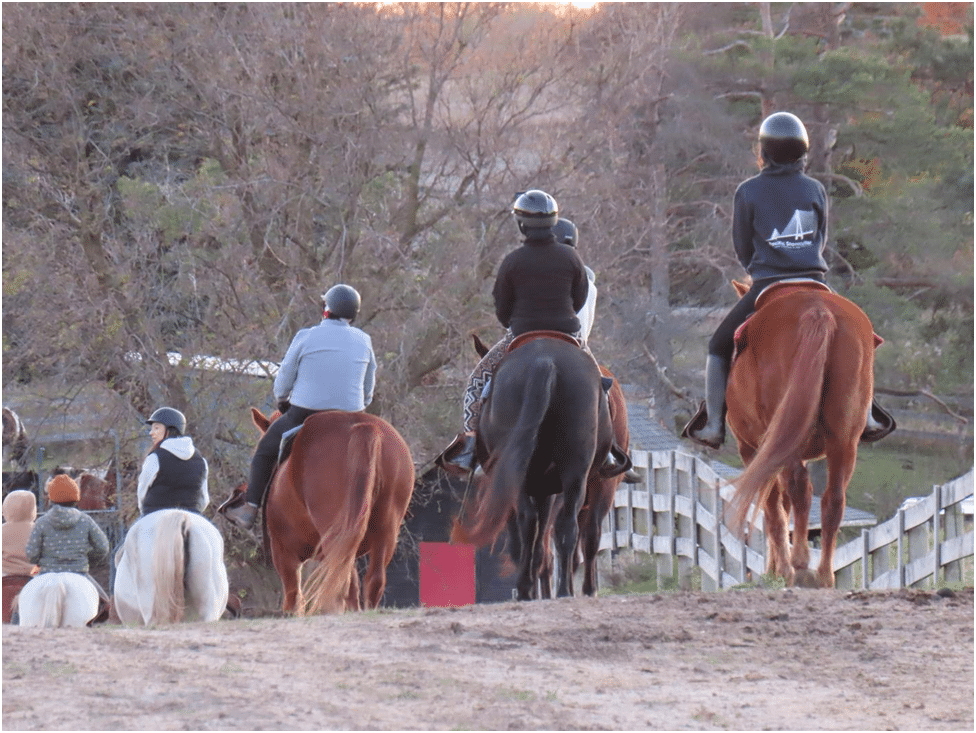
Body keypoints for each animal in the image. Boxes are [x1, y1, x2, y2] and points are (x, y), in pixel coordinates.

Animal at [248, 408, 416, 616]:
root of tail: (363, 427)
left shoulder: (284, 552)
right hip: (384, 531)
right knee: (371, 581)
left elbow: (293, 596)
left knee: (341, 586)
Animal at [724, 278, 876, 588]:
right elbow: (782, 506)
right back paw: (824, 574)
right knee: (833, 499)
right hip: (844, 440)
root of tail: (818, 310)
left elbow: (772, 509)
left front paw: (777, 569)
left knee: (799, 488)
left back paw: (798, 565)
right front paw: (775, 567)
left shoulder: (752, 449)